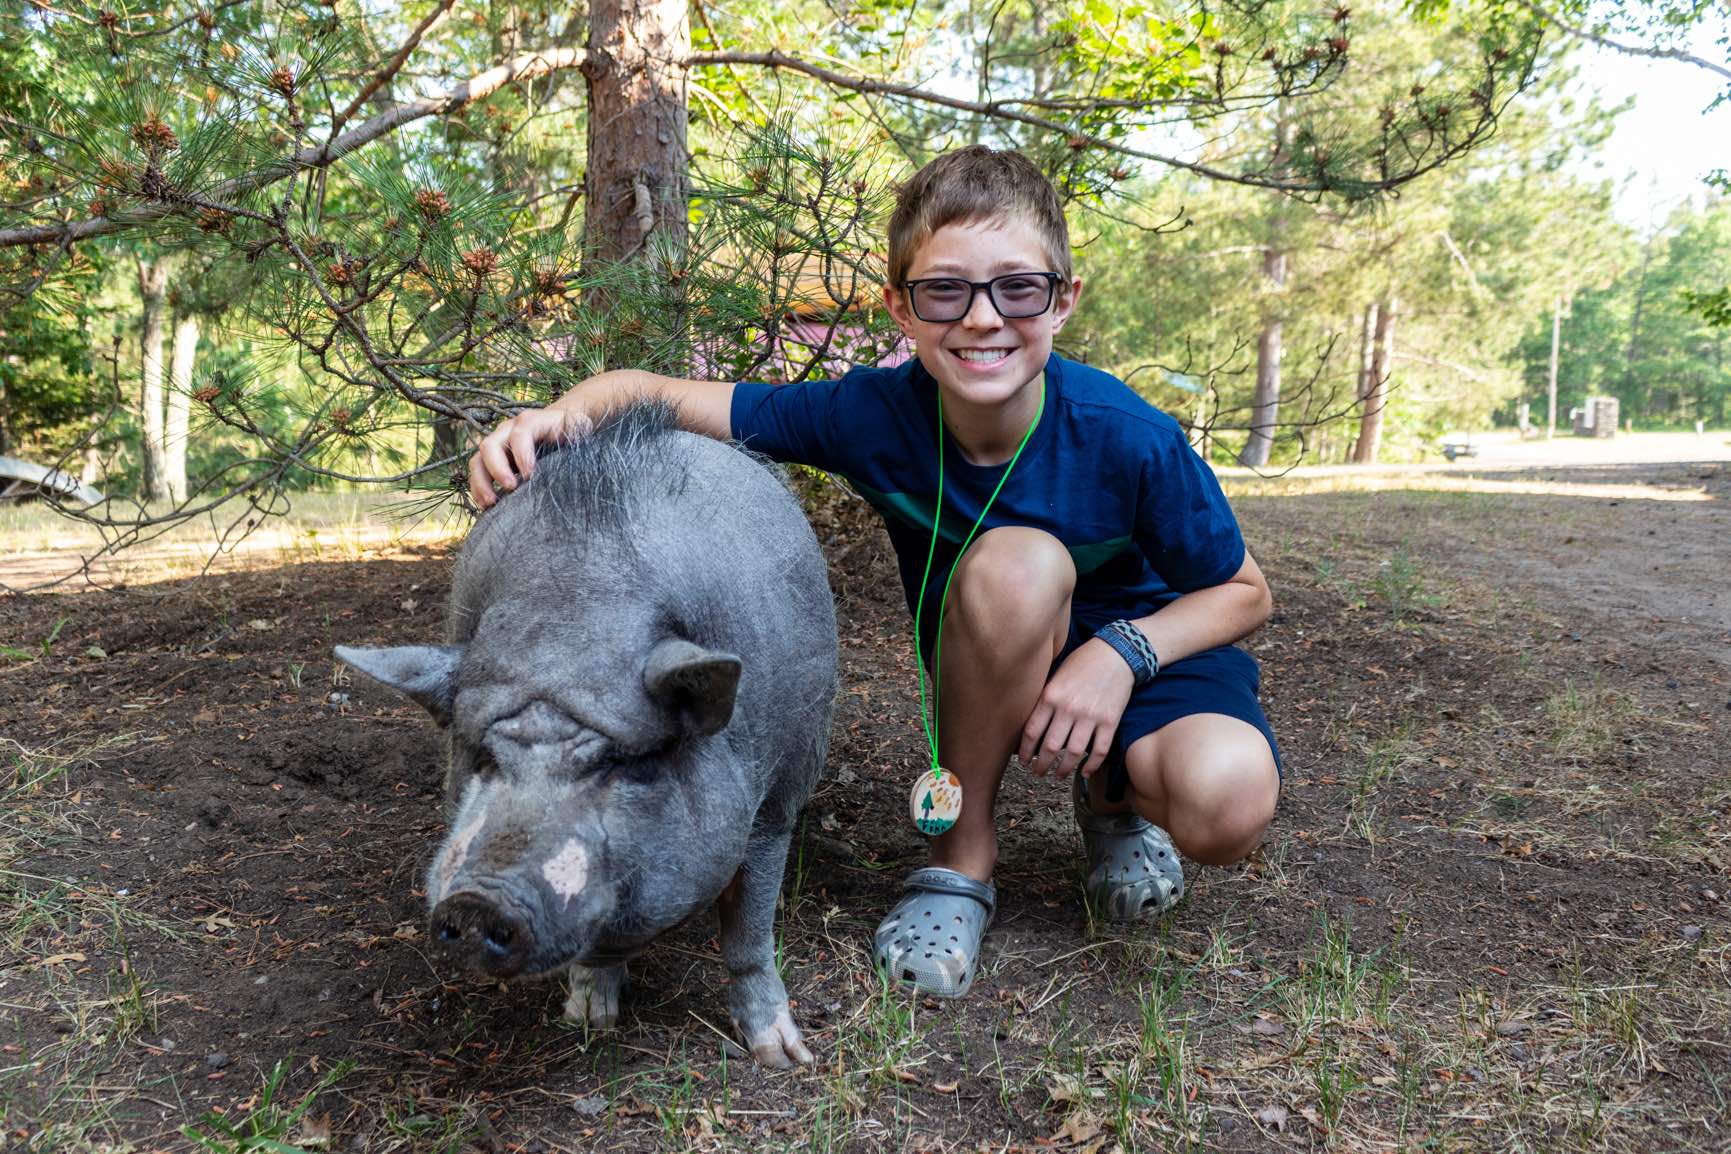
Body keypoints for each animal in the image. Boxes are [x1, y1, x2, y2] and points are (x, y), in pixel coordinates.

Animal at [337, 401, 837, 1072]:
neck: (569, 622)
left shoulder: (775, 800)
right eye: (481, 756)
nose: (476, 901)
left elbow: (749, 929)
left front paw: (783, 1057)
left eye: (621, 764)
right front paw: (588, 1020)